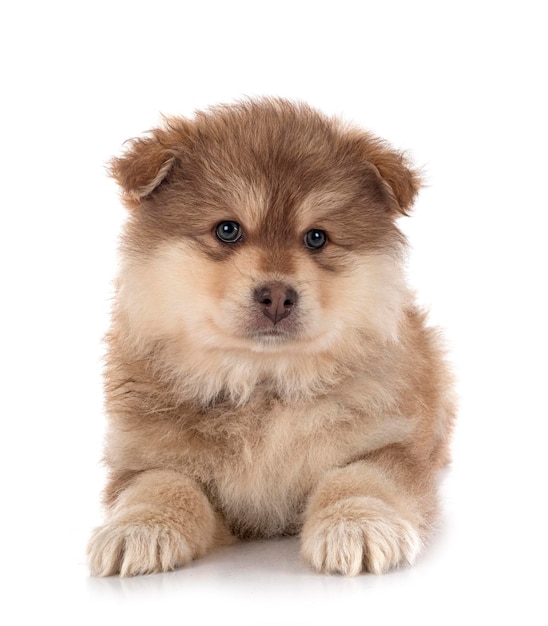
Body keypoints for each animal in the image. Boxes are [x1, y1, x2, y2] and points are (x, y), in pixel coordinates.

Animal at [88, 98, 456, 576]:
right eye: (228, 230)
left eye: (316, 237)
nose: (278, 296)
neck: (263, 383)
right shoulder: (143, 457)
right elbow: (160, 485)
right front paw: (138, 529)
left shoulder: (389, 444)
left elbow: (362, 479)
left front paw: (356, 525)